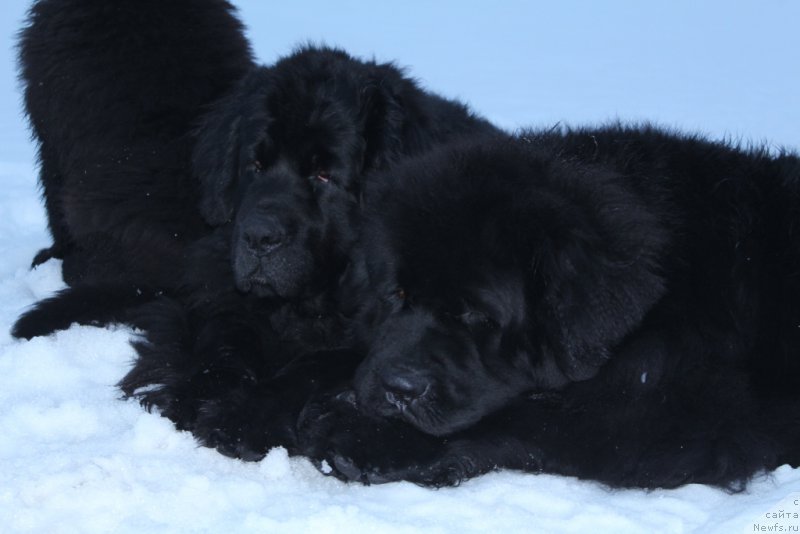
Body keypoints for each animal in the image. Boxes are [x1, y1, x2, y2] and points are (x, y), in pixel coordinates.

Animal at [292, 124, 800, 490]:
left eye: (477, 315)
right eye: (397, 295)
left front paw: (360, 435)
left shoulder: (688, 407)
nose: (398, 388)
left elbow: (536, 414)